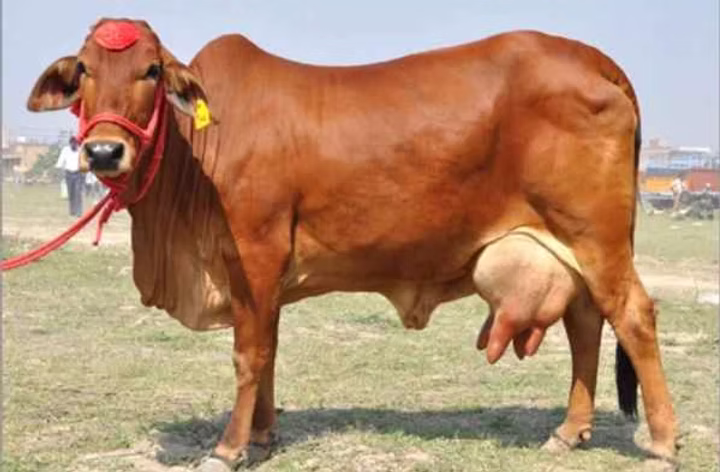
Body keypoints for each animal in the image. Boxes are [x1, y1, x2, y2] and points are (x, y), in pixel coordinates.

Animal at [26, 18, 677, 471]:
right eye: (84, 71)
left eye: (152, 72)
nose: (103, 152)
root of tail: (590, 57)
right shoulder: (263, 278)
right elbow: (269, 350)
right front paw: (263, 436)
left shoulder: (255, 256)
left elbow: (249, 356)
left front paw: (229, 447)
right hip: (572, 245)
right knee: (586, 321)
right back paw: (570, 432)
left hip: (596, 237)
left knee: (633, 316)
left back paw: (663, 440)